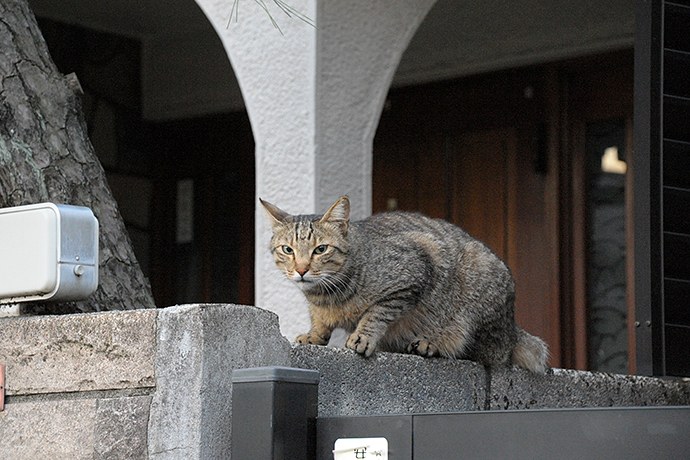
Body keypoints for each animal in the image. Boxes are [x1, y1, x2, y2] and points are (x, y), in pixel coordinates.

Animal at [260, 196, 548, 372]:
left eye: (320, 249)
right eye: (287, 250)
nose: (301, 270)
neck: (325, 294)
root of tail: (513, 331)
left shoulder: (415, 269)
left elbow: (376, 312)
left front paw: (363, 336)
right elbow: (319, 319)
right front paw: (314, 334)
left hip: (478, 286)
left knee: (483, 353)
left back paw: (432, 344)